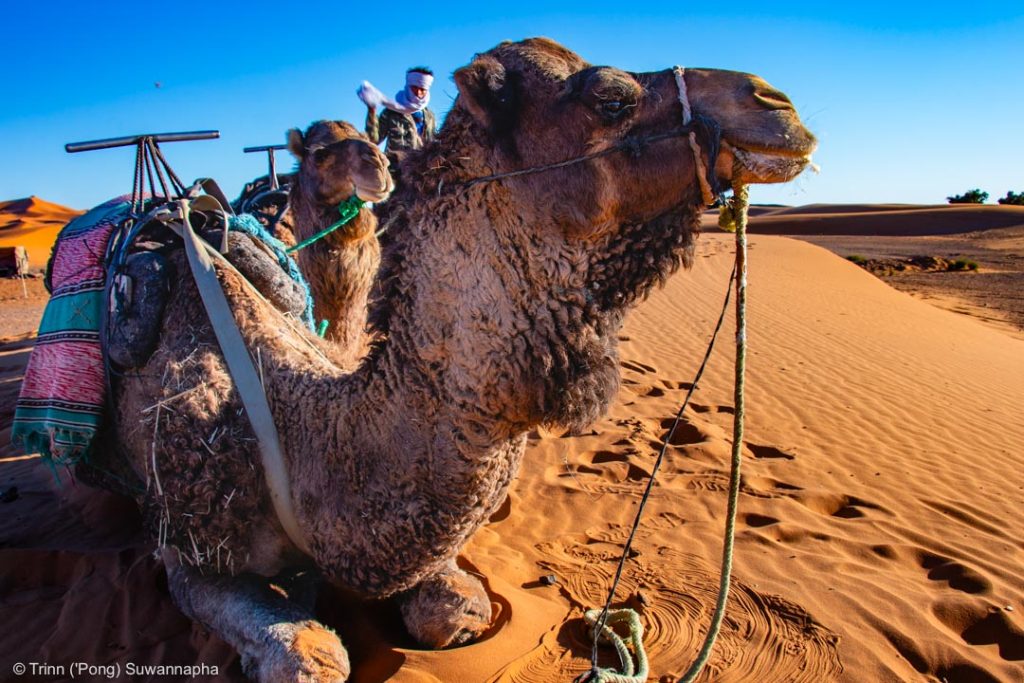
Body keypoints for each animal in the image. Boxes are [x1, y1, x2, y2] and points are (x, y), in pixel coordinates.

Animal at [105, 40, 815, 679]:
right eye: (610, 97)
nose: (776, 102)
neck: (301, 430)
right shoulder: (187, 549)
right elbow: (310, 658)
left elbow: (457, 615)